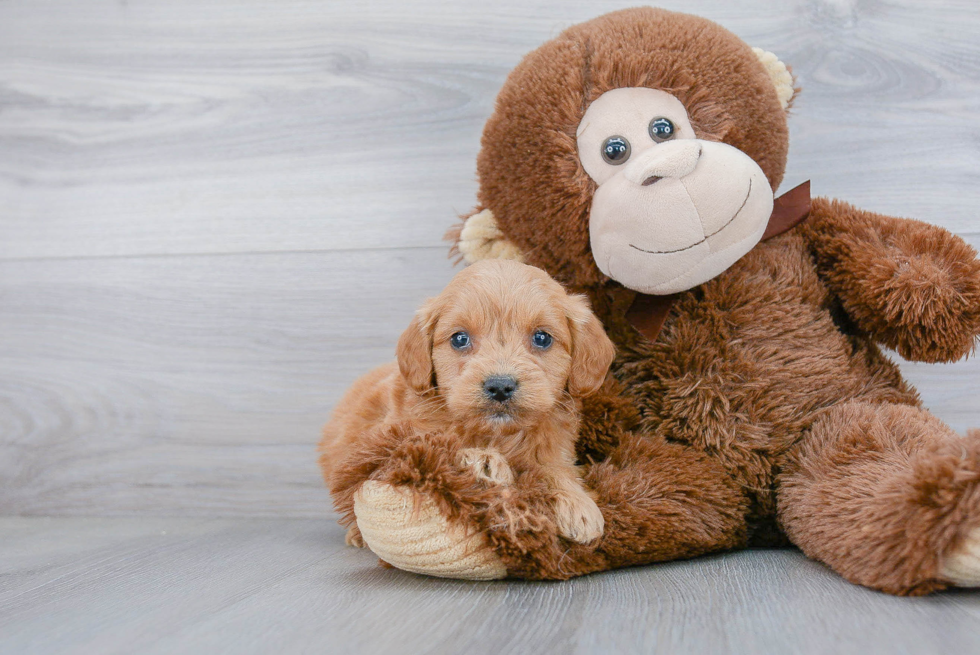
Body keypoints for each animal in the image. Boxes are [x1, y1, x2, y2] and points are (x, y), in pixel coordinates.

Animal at [320, 258, 612, 544]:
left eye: (542, 338)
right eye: (460, 339)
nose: (500, 386)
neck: (499, 435)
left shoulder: (555, 449)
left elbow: (556, 469)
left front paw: (577, 503)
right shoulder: (393, 439)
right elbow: (436, 444)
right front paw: (483, 460)